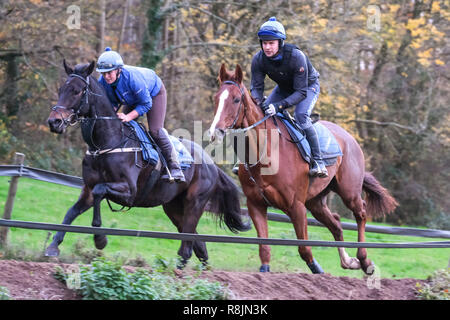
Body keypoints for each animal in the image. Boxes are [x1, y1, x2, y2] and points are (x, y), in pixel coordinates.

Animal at [45, 61, 250, 266]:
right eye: (61, 89)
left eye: (77, 91)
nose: (54, 122)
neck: (106, 143)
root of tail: (211, 164)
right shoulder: (88, 189)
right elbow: (71, 212)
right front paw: (53, 246)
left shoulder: (129, 191)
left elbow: (99, 191)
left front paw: (100, 239)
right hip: (173, 206)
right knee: (198, 244)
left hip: (195, 203)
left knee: (187, 245)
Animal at [208, 64, 398, 276]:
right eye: (216, 98)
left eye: (236, 99)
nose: (215, 132)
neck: (266, 153)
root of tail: (350, 138)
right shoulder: (255, 204)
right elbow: (264, 246)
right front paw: (264, 270)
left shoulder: (296, 206)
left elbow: (304, 247)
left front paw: (317, 269)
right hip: (315, 201)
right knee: (336, 224)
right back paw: (349, 261)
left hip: (349, 192)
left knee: (361, 213)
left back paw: (364, 260)